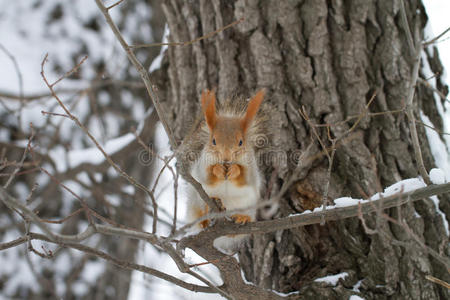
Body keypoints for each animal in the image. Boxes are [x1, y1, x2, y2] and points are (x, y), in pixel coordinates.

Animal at [185, 88, 266, 251]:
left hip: (248, 205)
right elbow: (208, 175)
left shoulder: (251, 167)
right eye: (213, 141)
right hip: (197, 200)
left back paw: (241, 218)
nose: (227, 158)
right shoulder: (202, 164)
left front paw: (234, 169)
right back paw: (206, 219)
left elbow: (244, 176)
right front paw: (218, 169)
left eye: (240, 142)